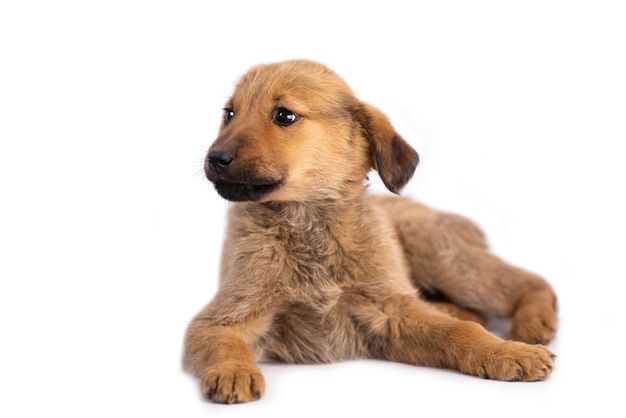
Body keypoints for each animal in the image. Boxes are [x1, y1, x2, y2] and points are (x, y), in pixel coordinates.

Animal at [183, 58, 560, 402]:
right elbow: (226, 344)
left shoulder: (388, 310)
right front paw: (233, 371)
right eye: (229, 114)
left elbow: (460, 333)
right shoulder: (223, 318)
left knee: (526, 282)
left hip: (444, 259)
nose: (216, 158)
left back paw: (533, 323)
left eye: (284, 116)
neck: (309, 226)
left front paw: (509, 353)